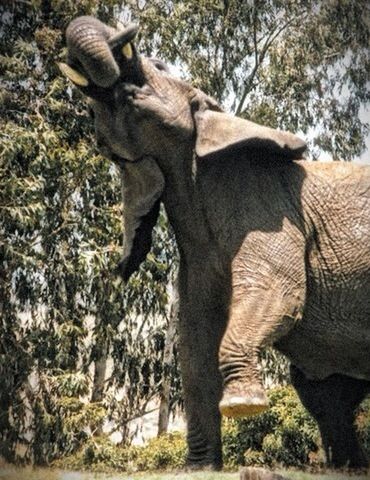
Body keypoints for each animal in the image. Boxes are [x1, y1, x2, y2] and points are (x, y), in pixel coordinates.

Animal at [60, 15, 370, 472]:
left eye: (158, 65)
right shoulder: (199, 255)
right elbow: (194, 341)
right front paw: (198, 467)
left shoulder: (266, 205)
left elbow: (278, 291)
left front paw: (242, 405)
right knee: (324, 395)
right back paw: (348, 468)